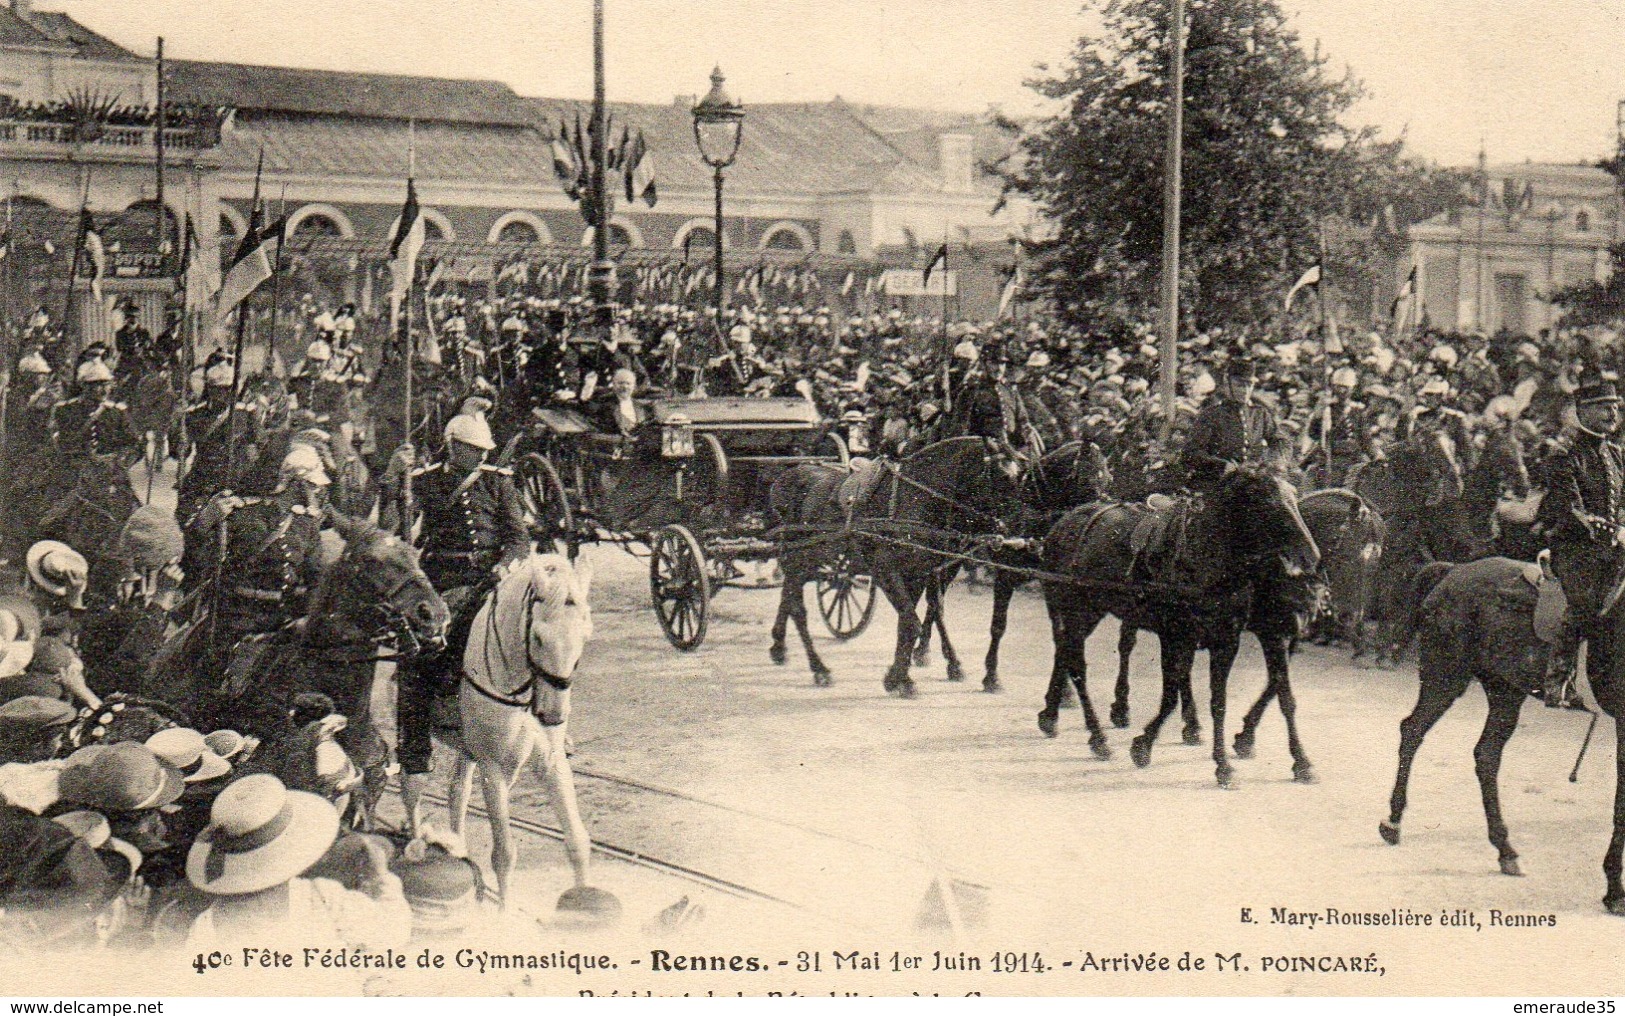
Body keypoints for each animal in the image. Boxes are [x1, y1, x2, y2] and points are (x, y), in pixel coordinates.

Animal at [438, 549, 598, 910]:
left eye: (585, 634)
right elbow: (504, 854)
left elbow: (577, 841)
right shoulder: (494, 769)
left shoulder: (552, 762)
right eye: (537, 637)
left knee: (457, 791)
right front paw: (503, 914)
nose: (553, 714)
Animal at [770, 435, 1020, 695]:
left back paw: (779, 647)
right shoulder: (886, 571)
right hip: (800, 559)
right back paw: (819, 669)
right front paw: (903, 679)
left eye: (1019, 476)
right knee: (798, 609)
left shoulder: (917, 573)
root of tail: (786, 477)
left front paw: (898, 676)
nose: (1013, 533)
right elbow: (911, 622)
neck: (914, 499)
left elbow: (910, 620)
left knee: (788, 596)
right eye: (1003, 476)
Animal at [1040, 468, 1319, 783]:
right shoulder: (1179, 634)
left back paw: (1053, 715)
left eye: (1295, 500)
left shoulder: (1234, 639)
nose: (1310, 555)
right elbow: (1172, 692)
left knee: (1067, 651)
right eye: (1270, 503)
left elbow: (1245, 698)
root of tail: (1062, 523)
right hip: (1081, 610)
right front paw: (1145, 745)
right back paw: (1097, 736)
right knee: (1075, 663)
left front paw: (1289, 761)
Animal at [1384, 549, 1625, 916]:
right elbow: (1621, 807)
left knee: (1486, 755)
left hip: (1505, 690)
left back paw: (1505, 849)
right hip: (1446, 676)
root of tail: (1453, 571)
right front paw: (1614, 890)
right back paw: (1393, 821)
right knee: (1412, 731)